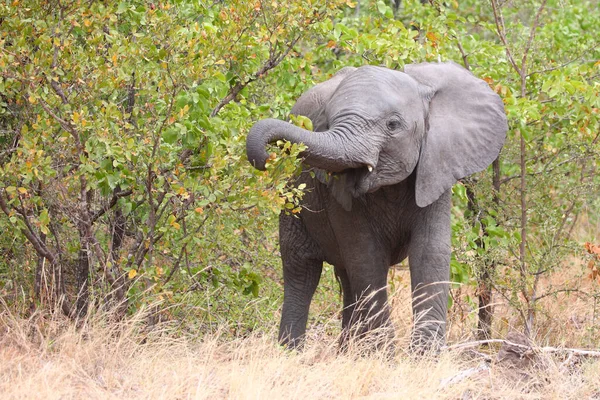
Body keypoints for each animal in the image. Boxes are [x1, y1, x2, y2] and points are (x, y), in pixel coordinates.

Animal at [244, 61, 506, 350]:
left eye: (393, 125)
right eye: (328, 123)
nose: (267, 156)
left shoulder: (435, 165)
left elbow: (429, 252)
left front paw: (422, 356)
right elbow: (366, 257)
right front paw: (385, 354)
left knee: (344, 277)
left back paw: (347, 351)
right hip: (293, 205)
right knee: (302, 271)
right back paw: (293, 352)